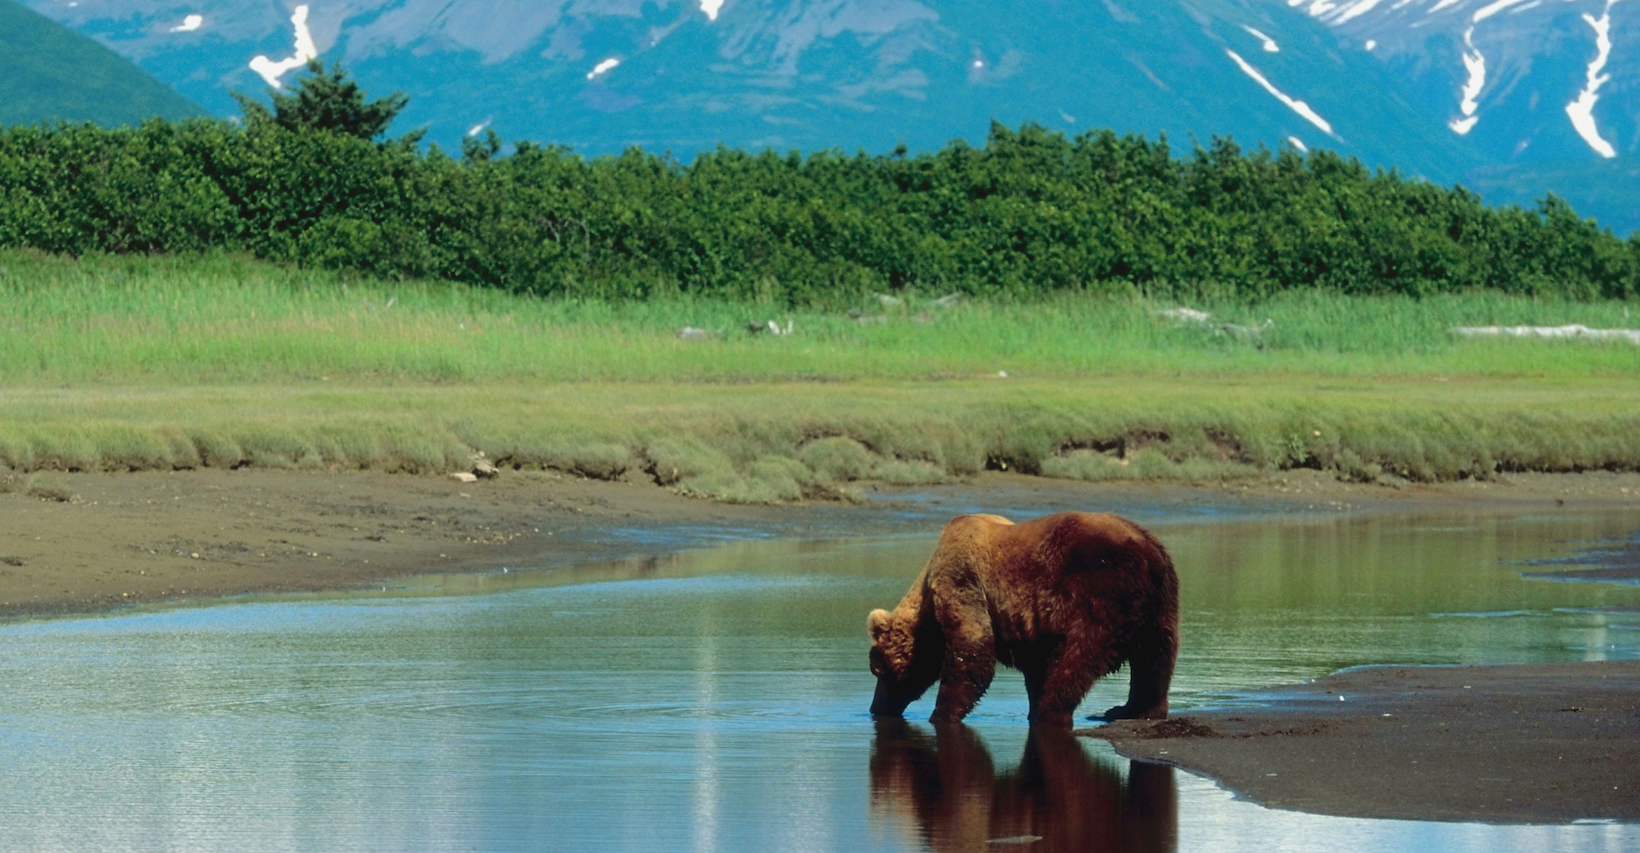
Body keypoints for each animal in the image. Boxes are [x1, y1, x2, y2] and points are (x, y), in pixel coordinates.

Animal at [867, 511, 1178, 726]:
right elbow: (1035, 667)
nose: (874, 708)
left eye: (878, 670)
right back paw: (1136, 709)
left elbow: (972, 648)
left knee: (1077, 656)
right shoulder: (1032, 626)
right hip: (1163, 602)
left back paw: (1052, 712)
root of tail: (1148, 551)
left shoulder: (962, 580)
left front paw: (941, 714)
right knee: (1156, 658)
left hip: (1099, 591)